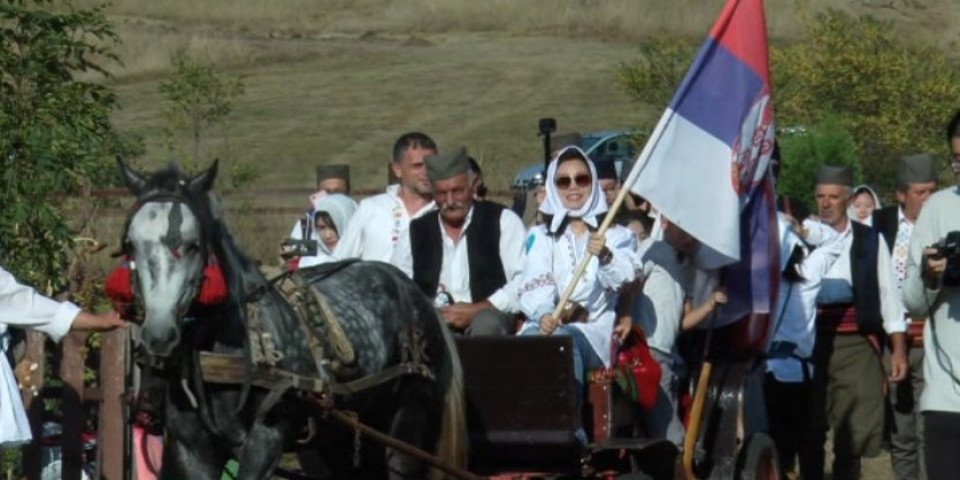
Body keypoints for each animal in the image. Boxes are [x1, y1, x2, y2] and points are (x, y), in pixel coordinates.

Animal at [118, 160, 466, 480]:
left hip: (408, 419)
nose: (159, 334)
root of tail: (415, 292)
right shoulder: (191, 449)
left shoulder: (266, 438)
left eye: (193, 244)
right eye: (131, 244)